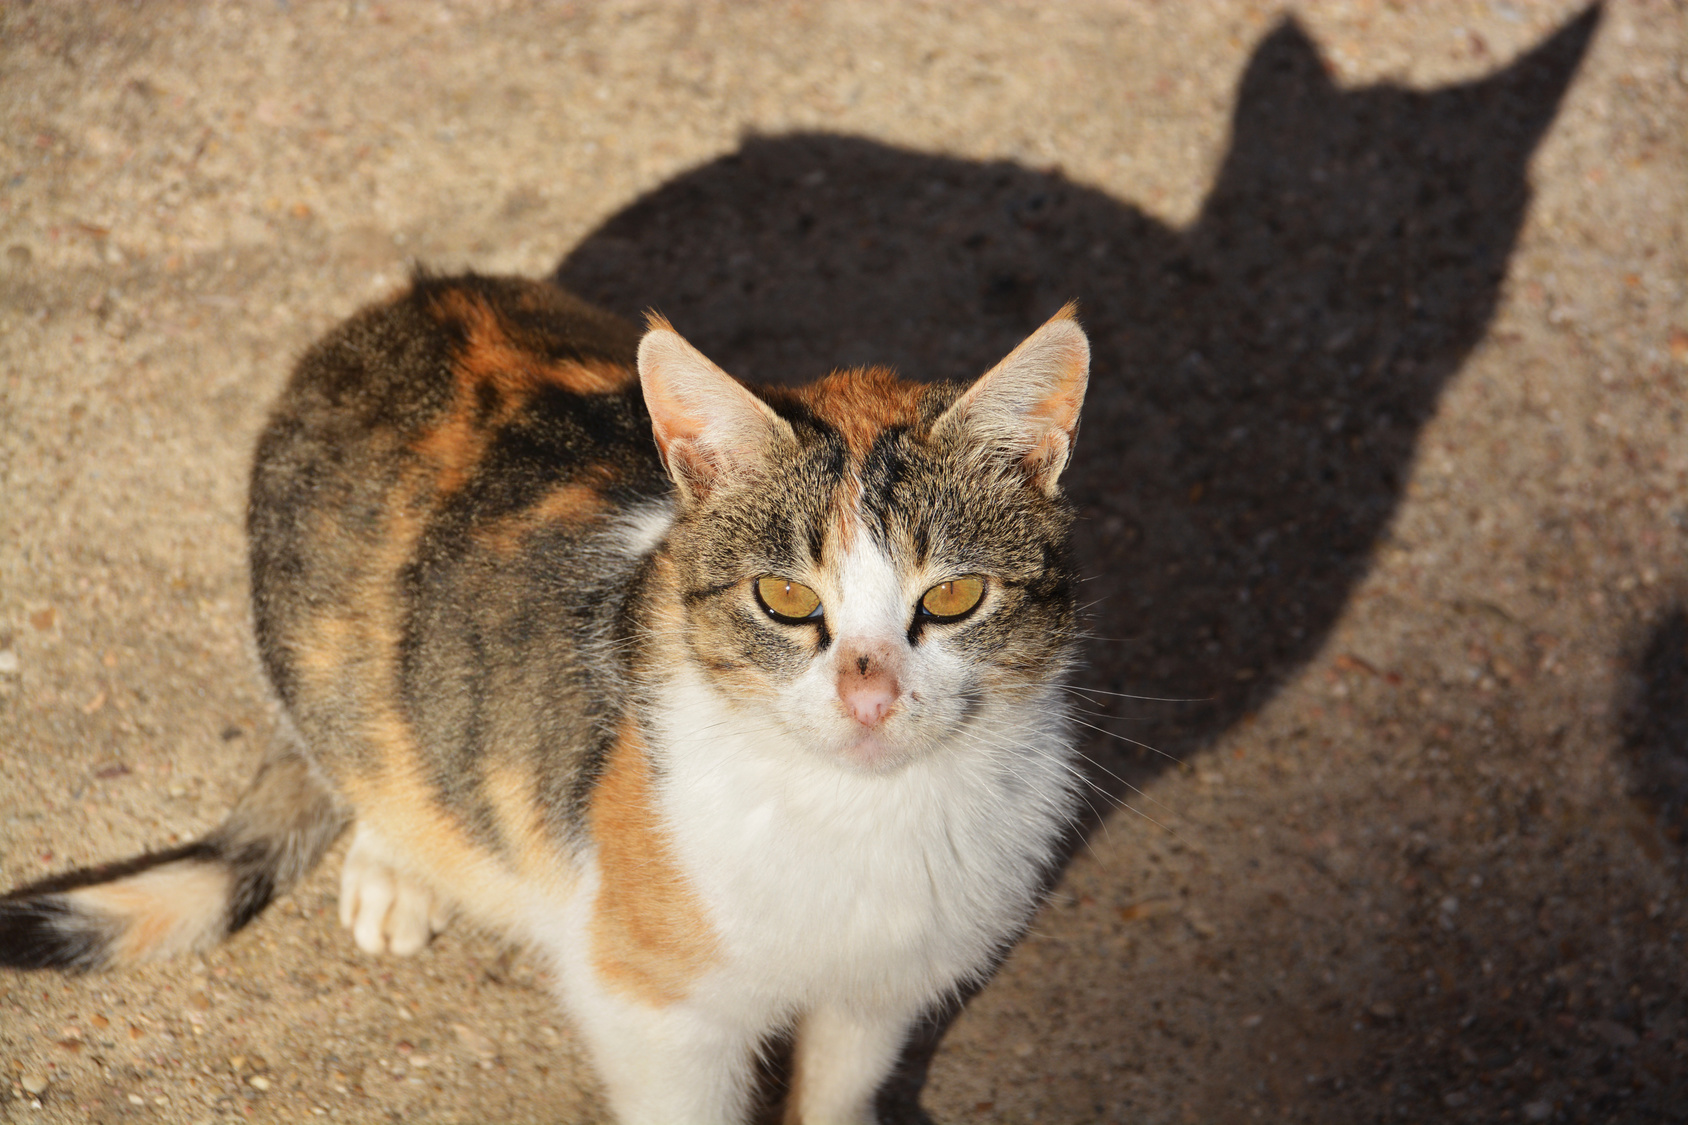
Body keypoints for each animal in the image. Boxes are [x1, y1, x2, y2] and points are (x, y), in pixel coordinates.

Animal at [0, 273, 1087, 1121]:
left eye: (952, 596)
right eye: (784, 599)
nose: (870, 694)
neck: (863, 818)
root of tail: (414, 299)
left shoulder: (889, 983)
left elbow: (841, 1083)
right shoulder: (652, 1004)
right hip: (326, 658)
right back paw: (399, 865)